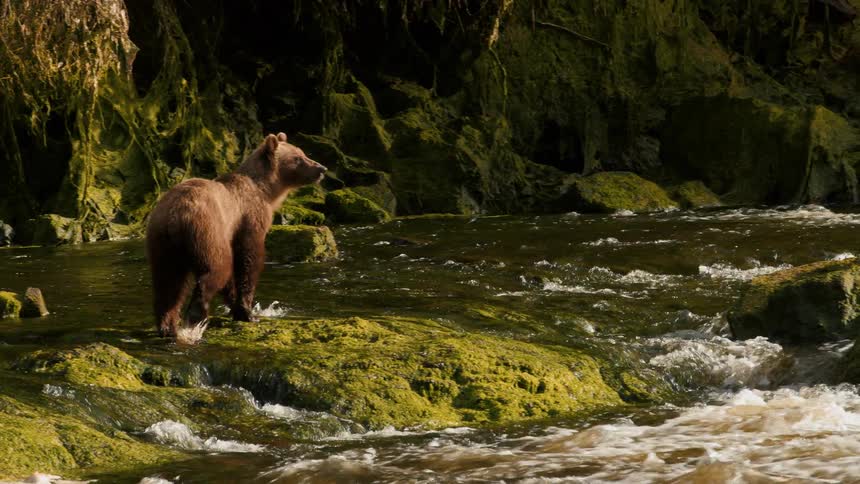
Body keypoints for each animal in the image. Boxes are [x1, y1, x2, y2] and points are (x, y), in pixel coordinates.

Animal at [145, 132, 326, 339]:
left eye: (302, 153)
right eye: (297, 158)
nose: (322, 168)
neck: (266, 190)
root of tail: (175, 215)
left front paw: (238, 307)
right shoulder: (248, 220)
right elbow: (248, 260)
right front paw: (248, 313)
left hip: (162, 242)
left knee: (167, 282)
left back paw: (167, 327)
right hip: (207, 231)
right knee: (215, 269)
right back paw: (195, 316)